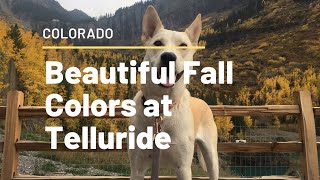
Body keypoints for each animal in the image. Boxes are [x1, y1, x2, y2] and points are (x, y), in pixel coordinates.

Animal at [129, 5, 219, 180]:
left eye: (183, 45)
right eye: (157, 43)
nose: (169, 57)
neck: (160, 107)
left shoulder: (183, 168)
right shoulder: (137, 168)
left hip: (211, 155)